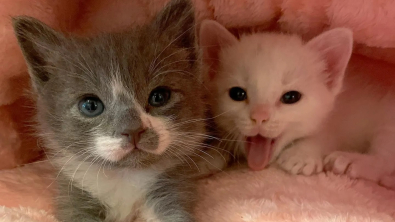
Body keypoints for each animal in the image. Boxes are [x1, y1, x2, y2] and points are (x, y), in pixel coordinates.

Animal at [12, 0, 212, 221]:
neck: (124, 177)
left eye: (159, 96)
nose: (133, 129)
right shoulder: (75, 194)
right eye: (90, 105)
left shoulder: (169, 187)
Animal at [201, 19, 395, 186]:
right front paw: (211, 153)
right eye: (237, 93)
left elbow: (324, 134)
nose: (259, 116)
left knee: (385, 159)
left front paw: (301, 154)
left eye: (291, 97)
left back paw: (350, 161)